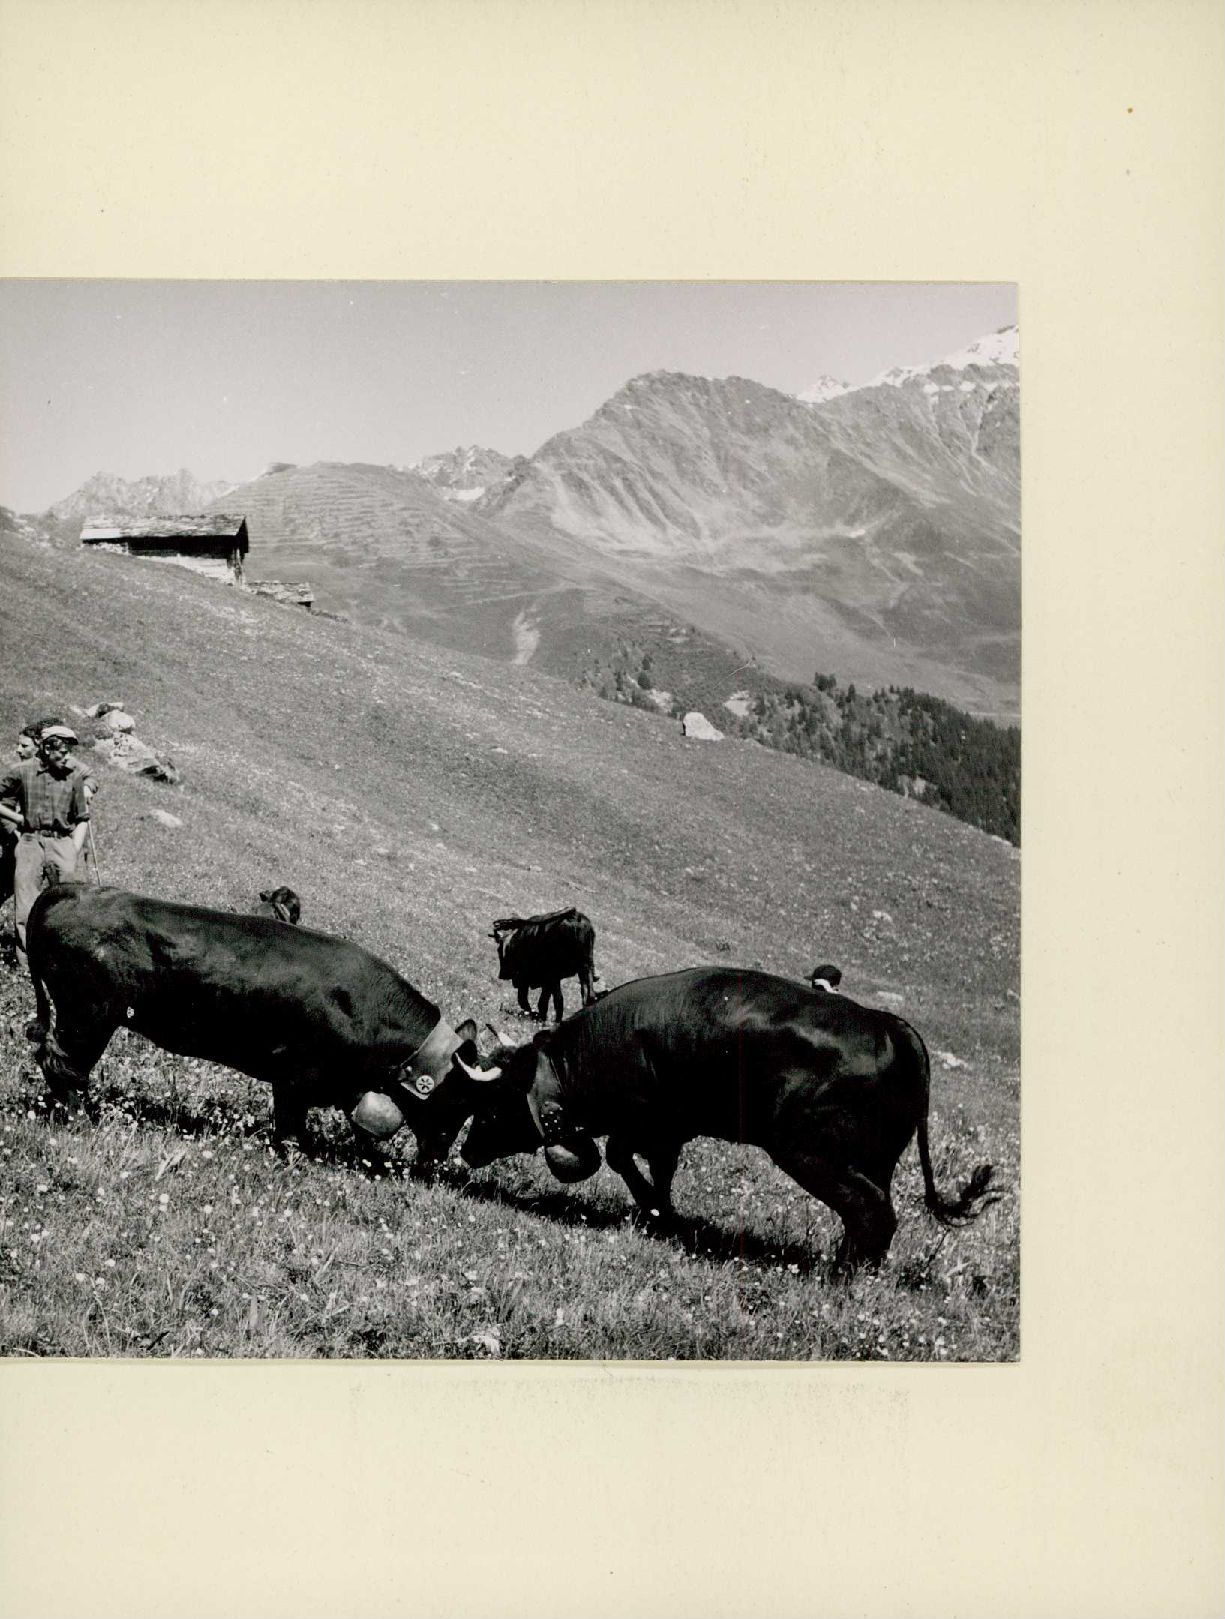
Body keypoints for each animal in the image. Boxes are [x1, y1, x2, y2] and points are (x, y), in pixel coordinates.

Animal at [23, 882, 480, 1166]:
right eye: (459, 1099)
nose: (441, 1155)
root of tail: (73, 888)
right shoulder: (297, 1076)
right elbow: (291, 1127)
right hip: (90, 1015)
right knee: (63, 1064)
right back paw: (80, 1120)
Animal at [451, 966, 995, 1273]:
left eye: (494, 1103)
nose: (467, 1151)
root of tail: (887, 1024)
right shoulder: (673, 1129)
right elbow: (655, 1167)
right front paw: (660, 1214)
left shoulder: (651, 1119)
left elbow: (619, 1155)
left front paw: (656, 1211)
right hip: (874, 1159)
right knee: (872, 1214)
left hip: (809, 1151)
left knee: (871, 1211)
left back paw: (840, 1279)